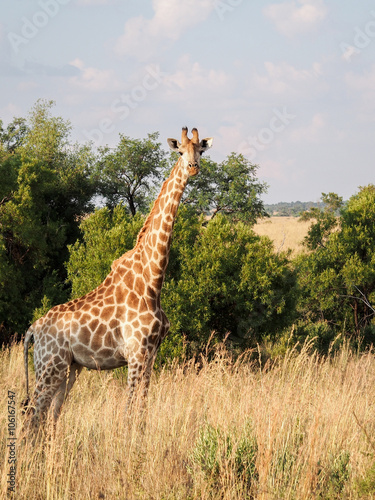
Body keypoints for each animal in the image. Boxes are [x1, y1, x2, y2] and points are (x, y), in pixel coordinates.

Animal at [24, 126, 214, 426]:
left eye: (201, 151)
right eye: (180, 152)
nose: (193, 168)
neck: (152, 279)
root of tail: (32, 331)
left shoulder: (151, 354)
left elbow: (143, 408)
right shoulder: (136, 353)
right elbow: (129, 410)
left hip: (68, 367)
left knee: (48, 417)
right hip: (49, 365)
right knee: (32, 416)